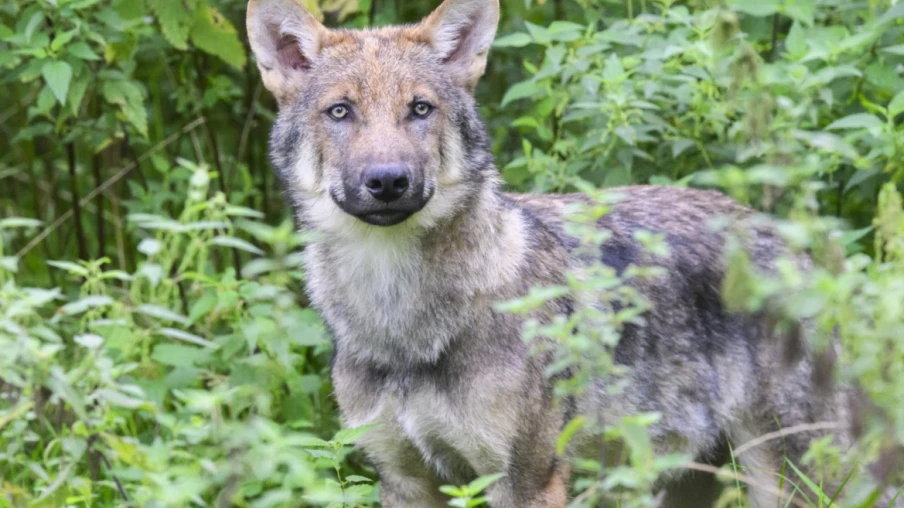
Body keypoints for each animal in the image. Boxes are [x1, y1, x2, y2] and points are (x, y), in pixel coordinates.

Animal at [245, 0, 857, 506]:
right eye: (340, 112)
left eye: (419, 109)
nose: (388, 181)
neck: (401, 323)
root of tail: (794, 243)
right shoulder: (404, 482)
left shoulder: (527, 480)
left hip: (787, 477)